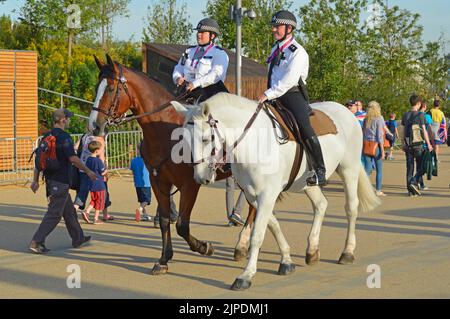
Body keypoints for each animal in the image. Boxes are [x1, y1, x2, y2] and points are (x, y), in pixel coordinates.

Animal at [89, 55, 255, 276]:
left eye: (109, 88)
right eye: (96, 86)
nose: (94, 126)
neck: (166, 131)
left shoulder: (190, 184)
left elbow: (182, 226)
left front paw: (204, 247)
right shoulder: (159, 182)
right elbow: (166, 220)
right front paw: (164, 259)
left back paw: (241, 245)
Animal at [171, 94, 380, 292]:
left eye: (205, 139)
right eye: (184, 140)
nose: (200, 177)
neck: (254, 142)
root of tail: (345, 111)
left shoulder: (267, 194)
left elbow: (258, 234)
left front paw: (246, 276)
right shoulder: (253, 194)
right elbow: (273, 224)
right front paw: (286, 261)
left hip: (349, 170)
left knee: (351, 209)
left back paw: (347, 252)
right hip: (307, 183)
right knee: (321, 205)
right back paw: (312, 250)